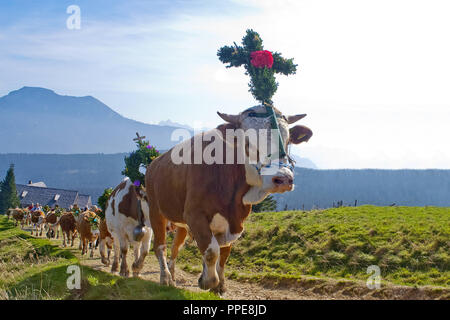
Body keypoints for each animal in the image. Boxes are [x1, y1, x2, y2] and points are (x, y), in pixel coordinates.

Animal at [146, 104, 312, 292]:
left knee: (175, 248)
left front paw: (219, 285)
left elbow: (223, 254)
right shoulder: (195, 215)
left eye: (288, 140)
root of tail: (155, 162)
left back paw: (173, 277)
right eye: (247, 142)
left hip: (181, 223)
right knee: (160, 246)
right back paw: (165, 278)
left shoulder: (234, 222)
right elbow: (212, 252)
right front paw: (207, 281)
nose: (283, 179)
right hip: (155, 210)